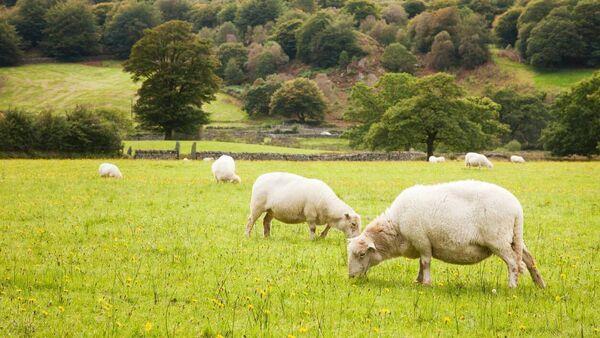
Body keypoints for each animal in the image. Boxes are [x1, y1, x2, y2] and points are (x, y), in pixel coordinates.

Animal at [344, 180, 548, 288]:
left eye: (361, 254)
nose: (351, 277)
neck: (396, 227)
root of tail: (517, 208)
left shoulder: (422, 240)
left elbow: (425, 262)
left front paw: (426, 283)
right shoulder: (421, 244)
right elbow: (421, 263)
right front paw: (418, 281)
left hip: (498, 240)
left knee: (513, 263)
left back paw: (512, 287)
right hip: (514, 238)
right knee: (529, 260)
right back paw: (540, 285)